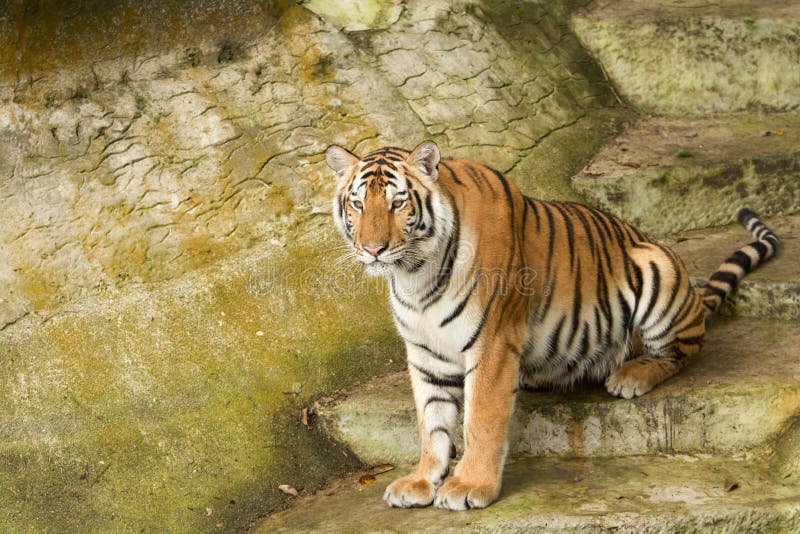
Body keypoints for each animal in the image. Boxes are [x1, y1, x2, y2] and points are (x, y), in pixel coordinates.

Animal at [325, 140, 779, 511]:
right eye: (358, 204)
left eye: (398, 204)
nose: (373, 249)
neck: (414, 275)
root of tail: (694, 300)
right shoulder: (424, 353)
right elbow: (431, 423)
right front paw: (422, 480)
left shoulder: (492, 342)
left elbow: (481, 420)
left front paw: (470, 486)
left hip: (657, 270)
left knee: (683, 351)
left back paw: (631, 376)